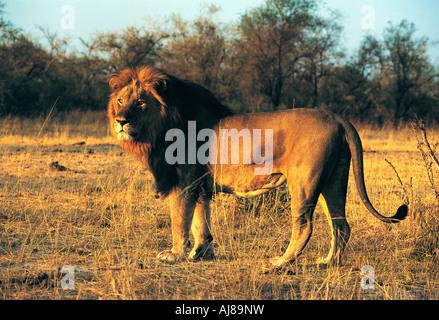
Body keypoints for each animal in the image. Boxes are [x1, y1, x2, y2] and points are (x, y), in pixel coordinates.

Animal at [107, 65, 410, 268]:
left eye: (141, 103)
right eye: (121, 100)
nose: (121, 121)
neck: (161, 127)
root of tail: (337, 117)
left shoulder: (184, 182)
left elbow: (180, 221)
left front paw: (174, 255)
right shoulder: (200, 185)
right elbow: (200, 223)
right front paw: (200, 253)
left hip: (304, 182)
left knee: (304, 225)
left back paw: (281, 262)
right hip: (334, 180)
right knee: (341, 224)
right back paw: (327, 262)